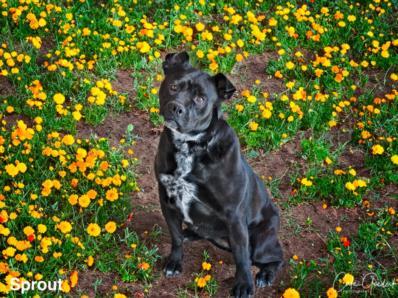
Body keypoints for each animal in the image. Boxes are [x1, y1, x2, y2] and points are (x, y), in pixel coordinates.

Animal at [155, 52, 282, 296]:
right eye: (173, 86)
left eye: (200, 99)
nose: (176, 107)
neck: (190, 147)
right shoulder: (168, 201)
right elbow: (175, 237)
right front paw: (175, 262)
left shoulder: (234, 216)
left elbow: (242, 257)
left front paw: (244, 285)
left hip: (261, 242)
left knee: (275, 257)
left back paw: (265, 275)